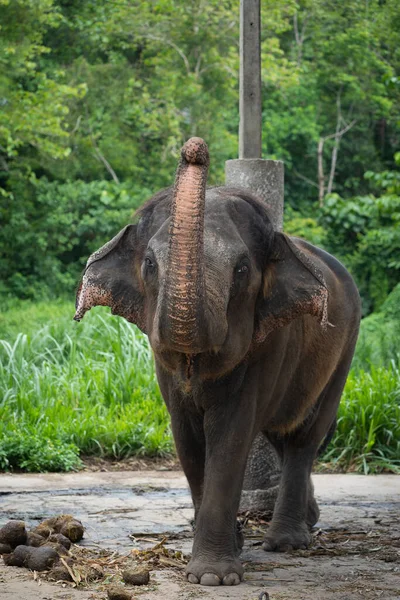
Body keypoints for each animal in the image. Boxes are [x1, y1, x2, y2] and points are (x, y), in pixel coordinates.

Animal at [73, 137, 360, 584]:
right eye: (150, 264)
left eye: (241, 269)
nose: (195, 148)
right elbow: (188, 440)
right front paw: (229, 551)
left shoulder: (269, 344)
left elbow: (230, 436)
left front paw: (212, 577)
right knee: (281, 437)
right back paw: (307, 521)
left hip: (345, 351)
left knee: (304, 437)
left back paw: (287, 542)